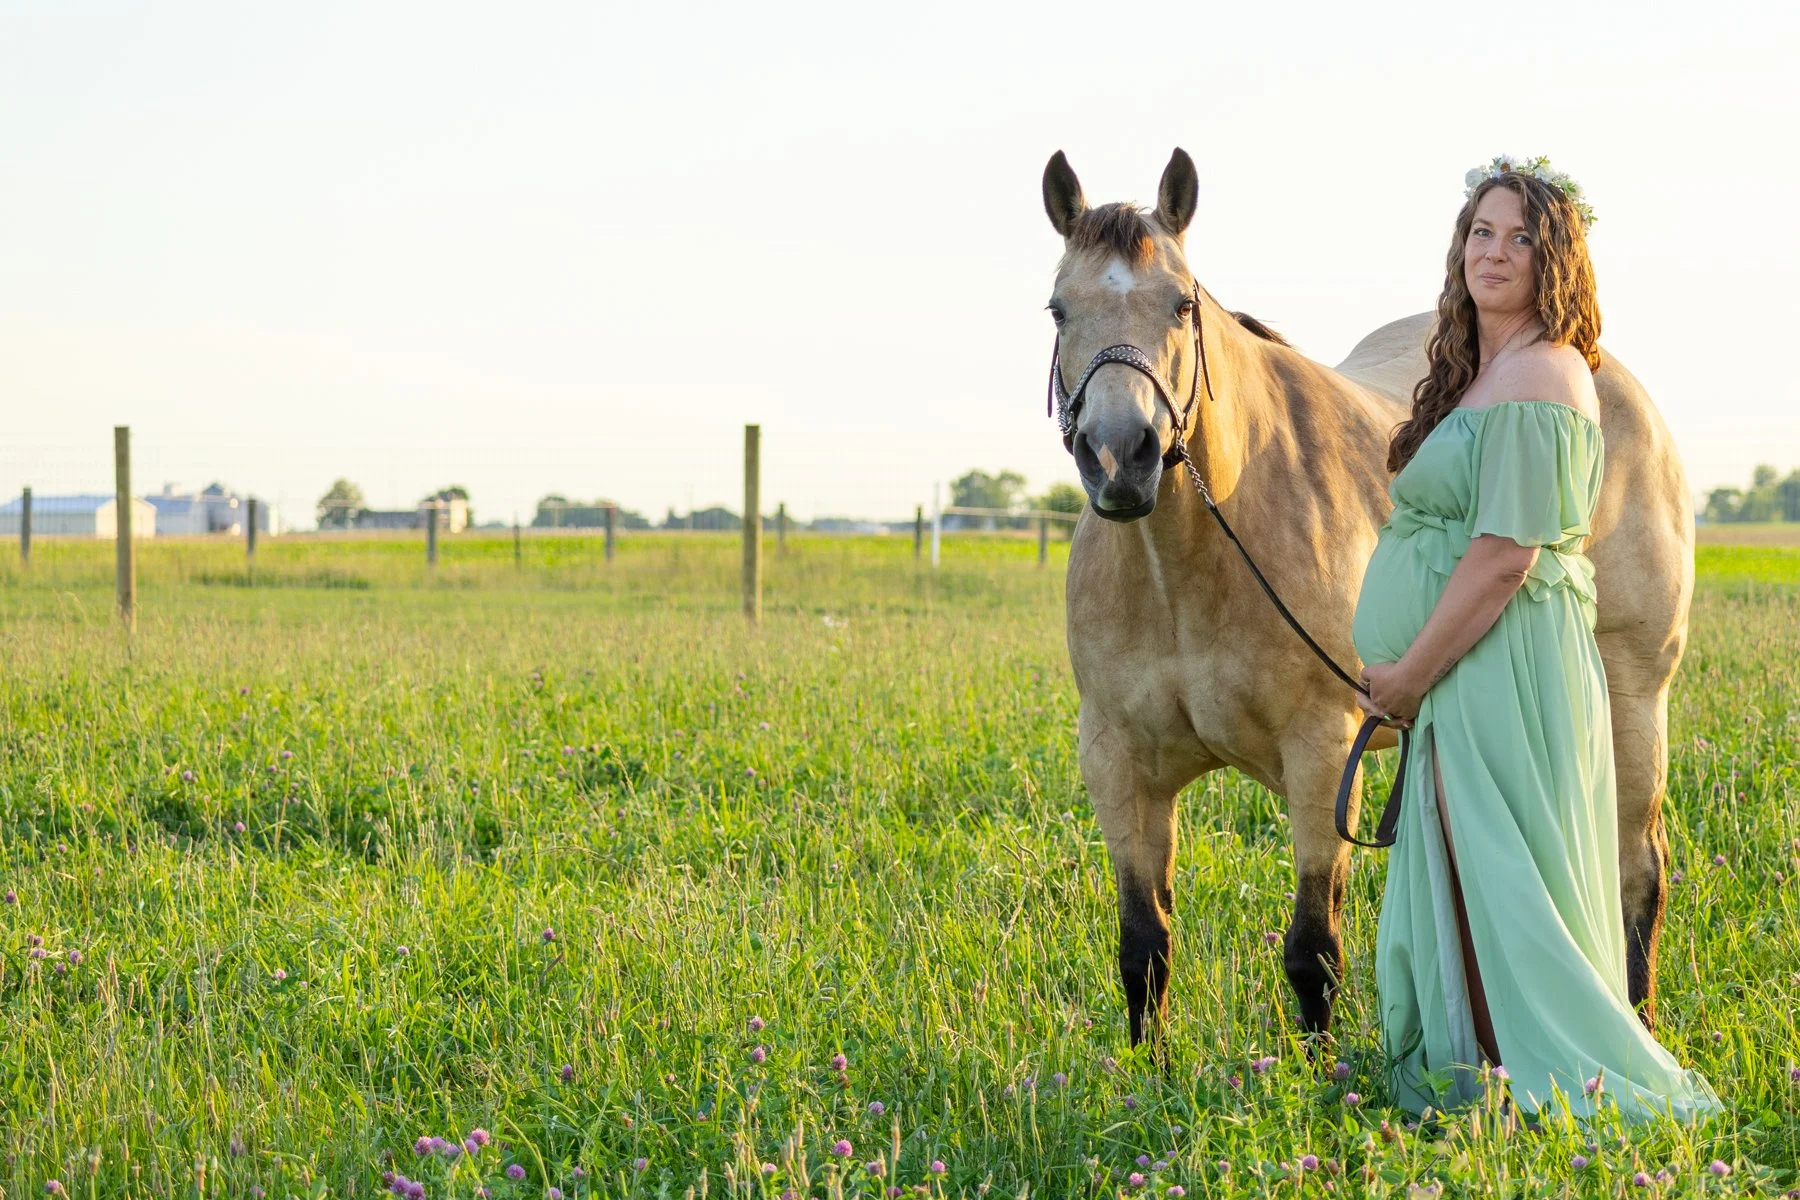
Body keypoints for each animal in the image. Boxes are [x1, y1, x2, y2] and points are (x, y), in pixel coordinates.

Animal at [1043, 148, 1693, 1052]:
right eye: (1059, 308)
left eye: (1180, 304)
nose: (1120, 457)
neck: (1186, 567)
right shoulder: (1119, 763)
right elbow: (1144, 945)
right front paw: (1145, 1074)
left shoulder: (1322, 753)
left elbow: (1312, 950)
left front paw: (1319, 1078)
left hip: (1634, 697)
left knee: (1640, 868)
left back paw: (1633, 1020)